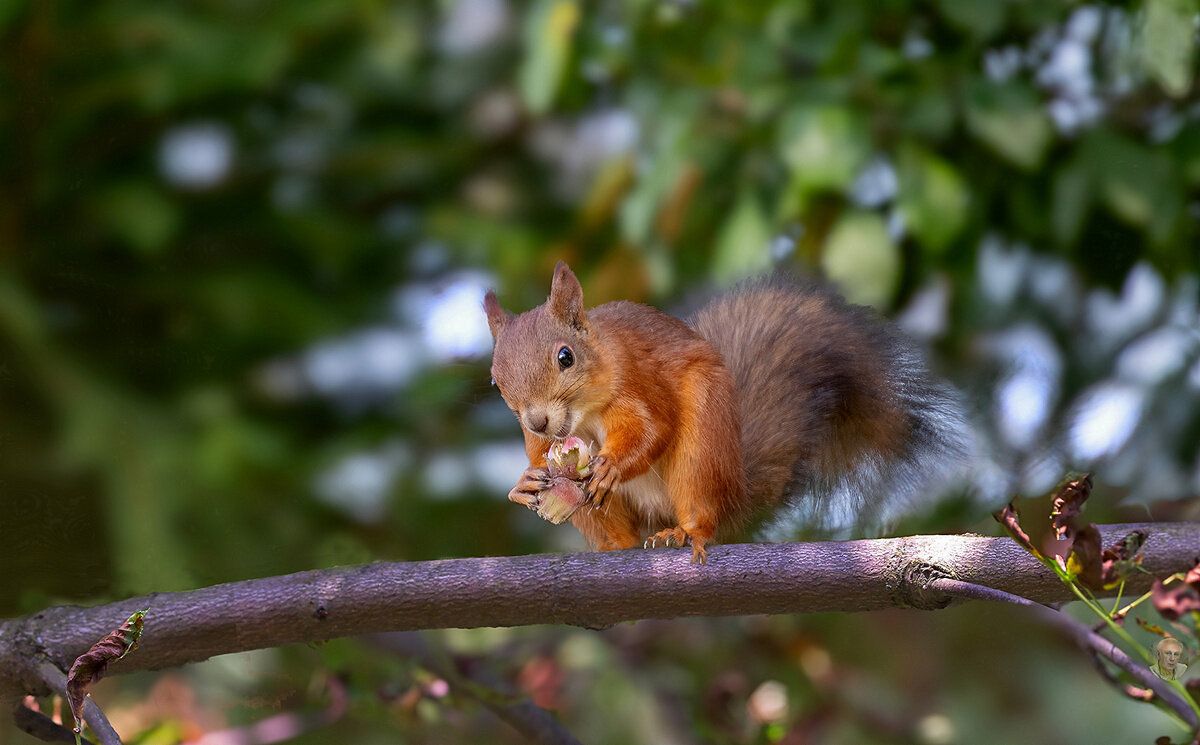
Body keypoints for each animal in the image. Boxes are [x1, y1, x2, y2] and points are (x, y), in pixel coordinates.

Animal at [480, 263, 964, 561]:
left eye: (566, 357)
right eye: (495, 380)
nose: (538, 420)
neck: (583, 417)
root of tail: (736, 491)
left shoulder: (639, 384)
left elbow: (654, 428)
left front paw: (612, 465)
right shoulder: (542, 442)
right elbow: (540, 459)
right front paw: (524, 483)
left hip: (704, 447)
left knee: (701, 509)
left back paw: (685, 532)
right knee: (617, 532)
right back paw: (611, 547)